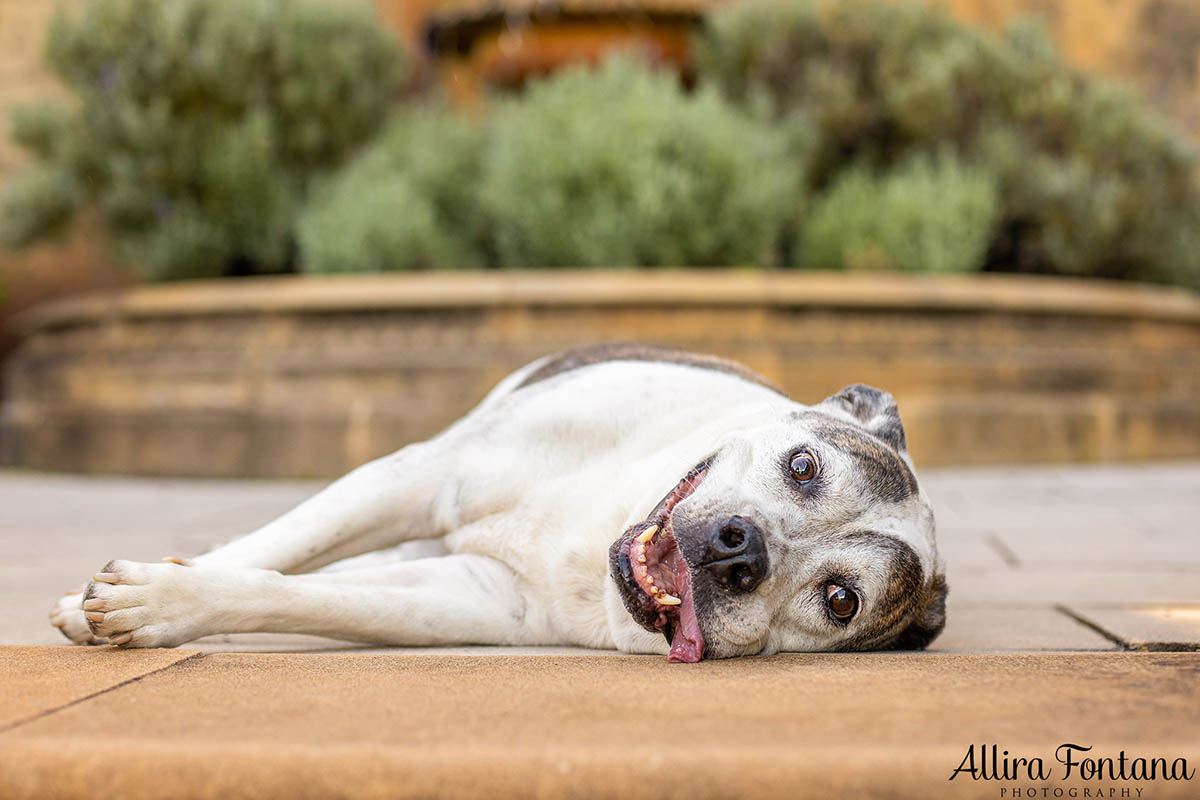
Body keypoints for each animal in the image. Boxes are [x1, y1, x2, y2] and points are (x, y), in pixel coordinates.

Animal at [49, 345, 945, 662]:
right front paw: (126, 594)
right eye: (804, 467)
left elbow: (297, 593)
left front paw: (161, 601)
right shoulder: (418, 477)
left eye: (839, 599)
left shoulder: (464, 596)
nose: (740, 547)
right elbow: (275, 548)